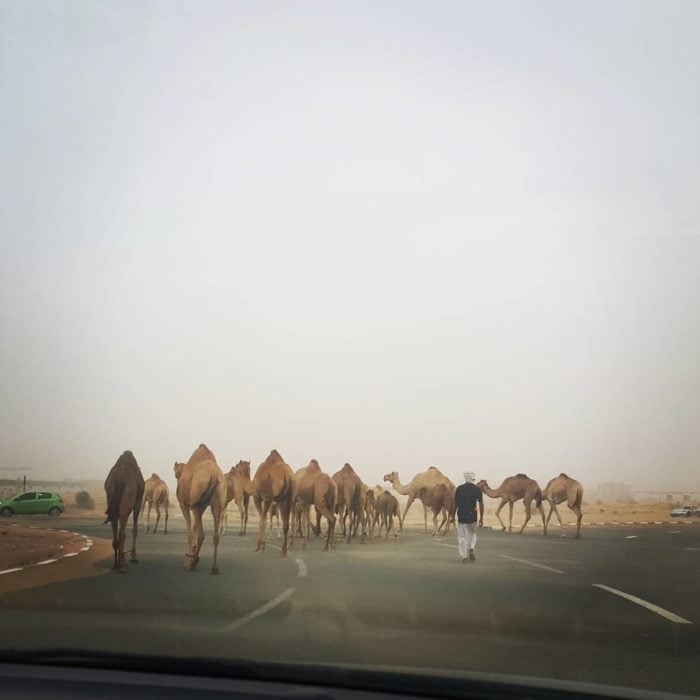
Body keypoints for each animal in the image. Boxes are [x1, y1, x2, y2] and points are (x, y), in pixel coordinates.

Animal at [174, 442, 226, 576]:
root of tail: (214, 475)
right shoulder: (202, 506)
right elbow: (195, 527)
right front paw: (194, 556)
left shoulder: (184, 504)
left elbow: (190, 532)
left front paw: (190, 560)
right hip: (217, 501)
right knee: (215, 535)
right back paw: (214, 568)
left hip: (196, 500)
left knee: (201, 535)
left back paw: (191, 564)